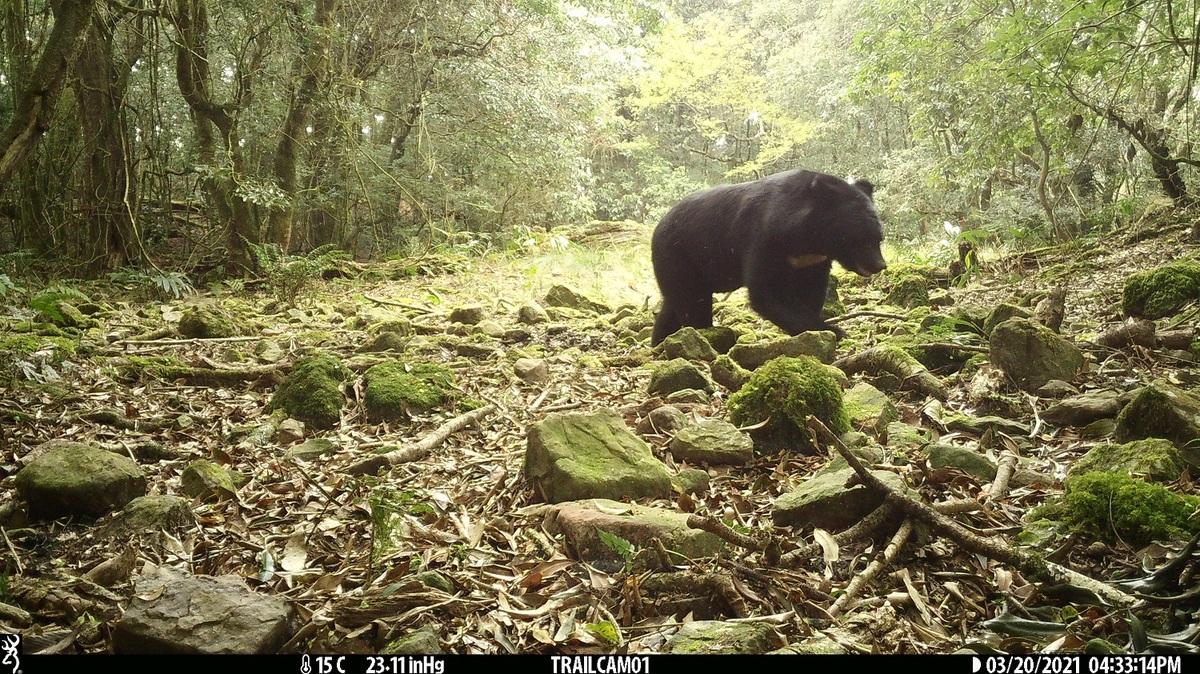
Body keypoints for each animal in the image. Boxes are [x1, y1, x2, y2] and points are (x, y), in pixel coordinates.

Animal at [650, 169, 887, 345]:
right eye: (862, 239)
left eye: (879, 238)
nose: (880, 265)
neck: (808, 240)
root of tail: (658, 226)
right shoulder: (764, 238)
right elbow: (766, 290)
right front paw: (834, 331)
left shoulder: (813, 261)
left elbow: (812, 290)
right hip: (679, 255)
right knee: (692, 302)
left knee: (673, 304)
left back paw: (659, 340)